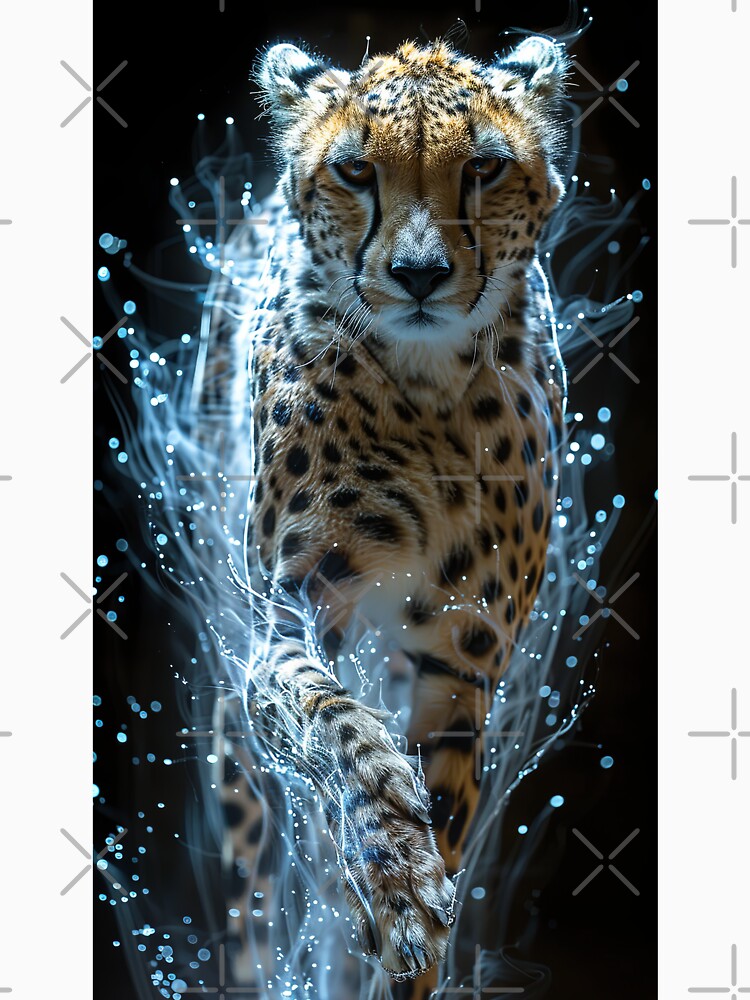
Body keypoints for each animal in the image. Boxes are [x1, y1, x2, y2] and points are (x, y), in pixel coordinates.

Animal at [215, 33, 570, 1000]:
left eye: (484, 168)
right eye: (355, 170)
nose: (418, 276)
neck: (427, 389)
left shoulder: (465, 662)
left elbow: (445, 808)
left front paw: (412, 933)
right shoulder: (284, 617)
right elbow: (332, 719)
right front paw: (396, 877)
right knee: (253, 886)